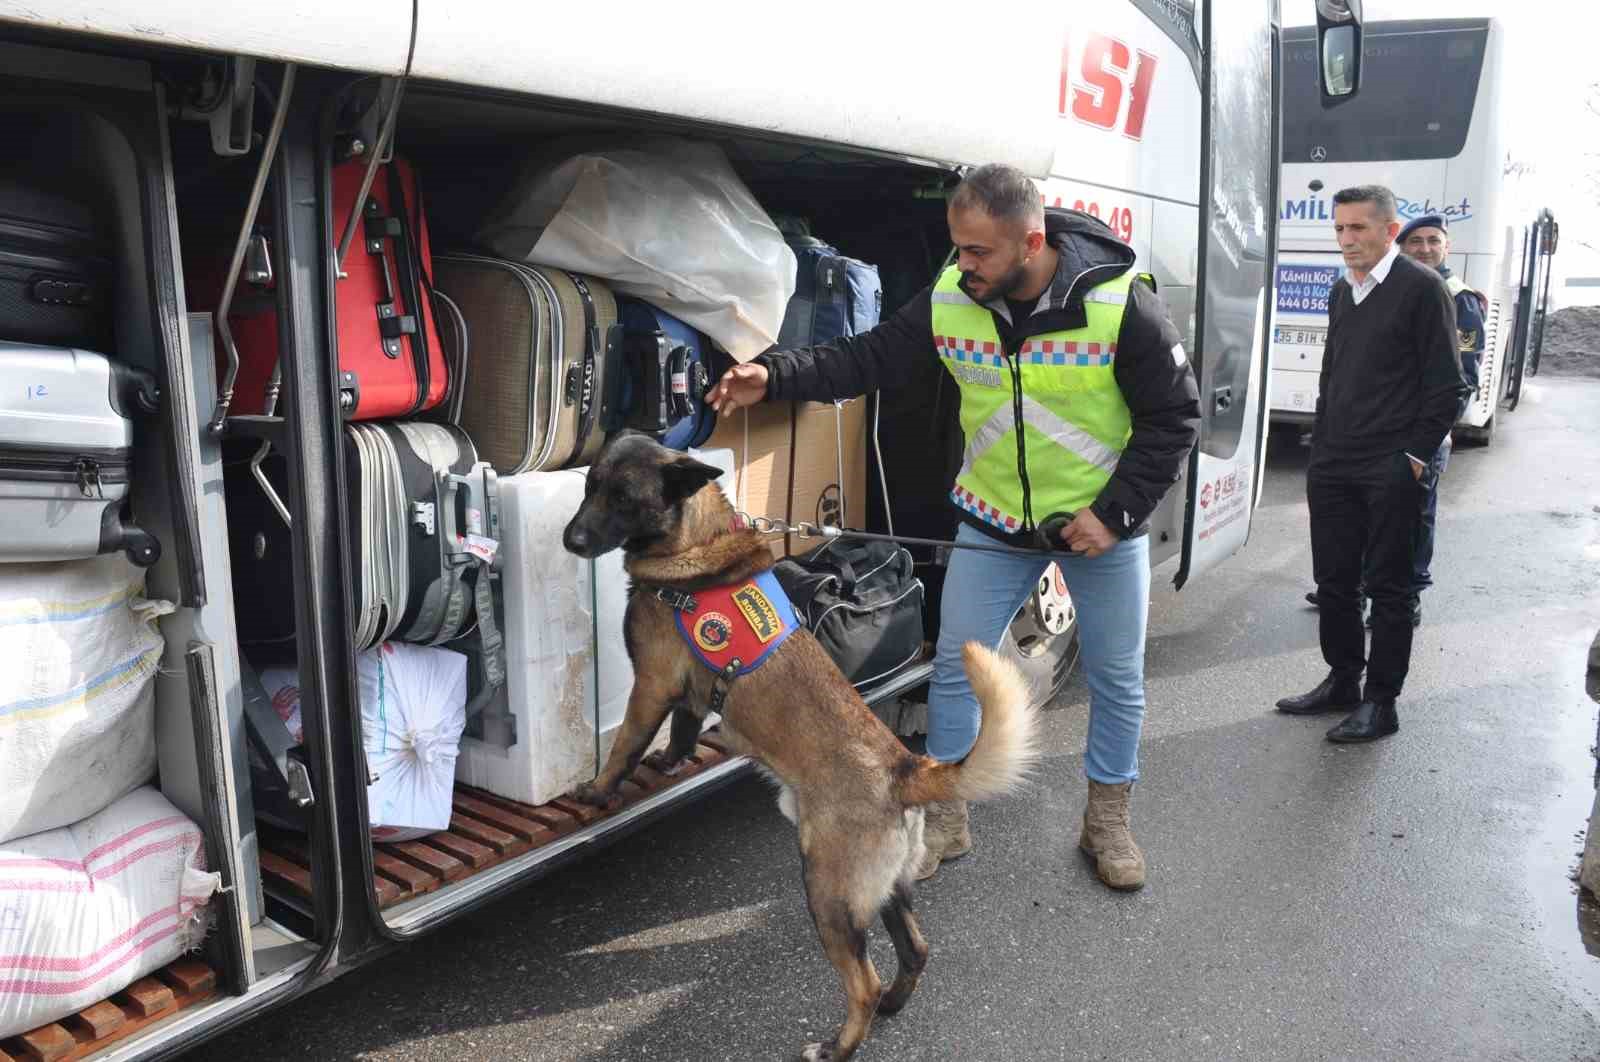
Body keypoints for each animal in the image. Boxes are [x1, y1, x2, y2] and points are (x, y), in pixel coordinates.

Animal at [563, 435, 1036, 1062]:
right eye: (590, 486)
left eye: (624, 498)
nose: (571, 540)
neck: (699, 545)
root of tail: (905, 766)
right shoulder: (686, 694)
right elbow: (683, 731)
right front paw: (668, 762)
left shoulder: (651, 687)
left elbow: (622, 750)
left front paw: (597, 793)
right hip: (884, 890)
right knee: (915, 951)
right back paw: (894, 1006)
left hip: (828, 893)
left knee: (864, 983)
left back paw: (838, 1046)